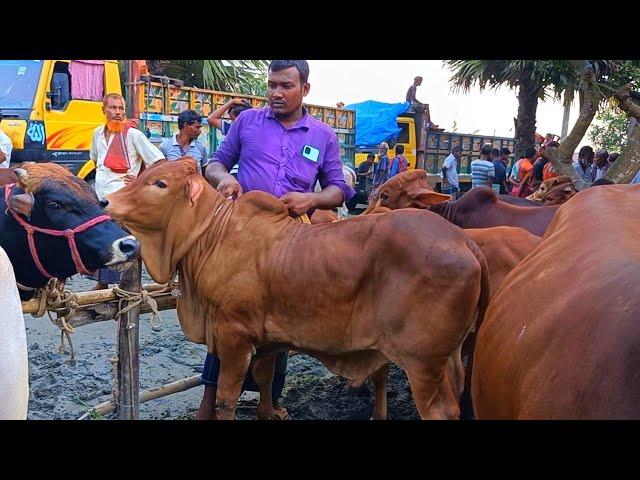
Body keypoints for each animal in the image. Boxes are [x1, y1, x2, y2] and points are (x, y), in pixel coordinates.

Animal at [106, 158, 490, 420]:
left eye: (160, 183)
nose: (107, 201)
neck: (215, 236)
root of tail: (465, 243)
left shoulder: (234, 336)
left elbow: (226, 397)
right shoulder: (267, 341)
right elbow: (263, 380)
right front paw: (270, 413)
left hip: (423, 364)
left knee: (439, 410)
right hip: (449, 358)